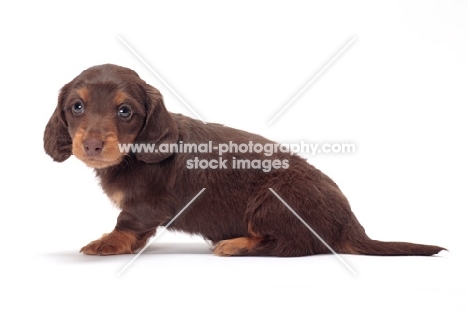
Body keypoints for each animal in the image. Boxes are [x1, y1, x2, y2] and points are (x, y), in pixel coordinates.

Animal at [44, 64, 446, 258]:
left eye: (125, 111)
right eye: (76, 106)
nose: (92, 145)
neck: (132, 156)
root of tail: (350, 225)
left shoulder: (146, 205)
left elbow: (127, 222)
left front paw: (108, 242)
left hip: (272, 199)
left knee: (292, 245)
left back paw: (236, 244)